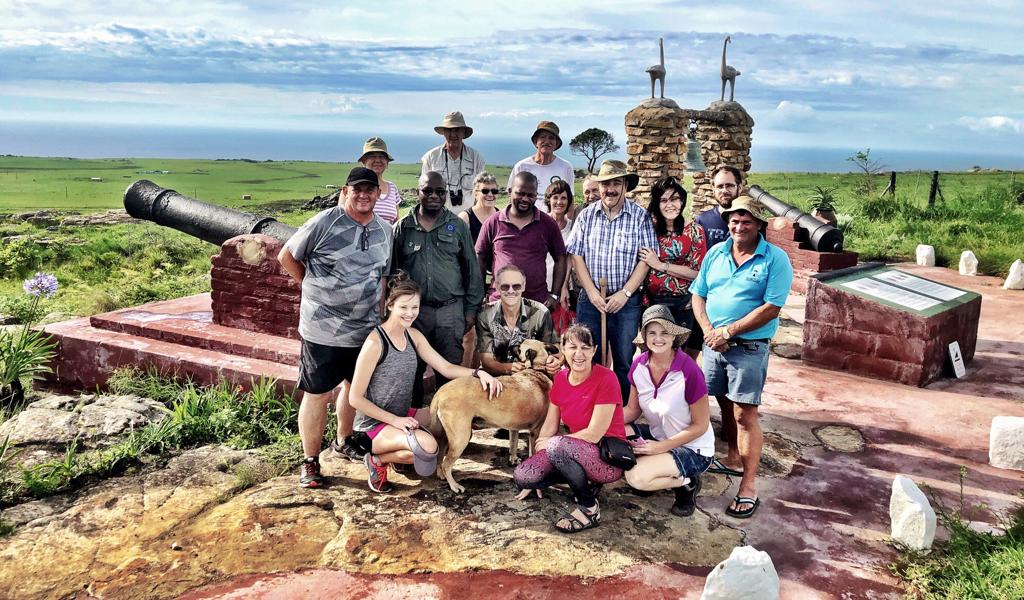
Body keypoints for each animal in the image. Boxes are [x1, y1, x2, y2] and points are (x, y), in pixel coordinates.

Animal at [432, 337, 561, 493]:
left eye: (519, 348)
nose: (511, 345)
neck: (536, 370)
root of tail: (441, 391)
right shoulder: (535, 432)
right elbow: (531, 453)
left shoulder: (514, 429)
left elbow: (513, 444)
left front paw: (513, 459)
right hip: (461, 437)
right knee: (447, 463)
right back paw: (454, 485)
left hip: (447, 436)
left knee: (440, 455)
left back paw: (441, 474)